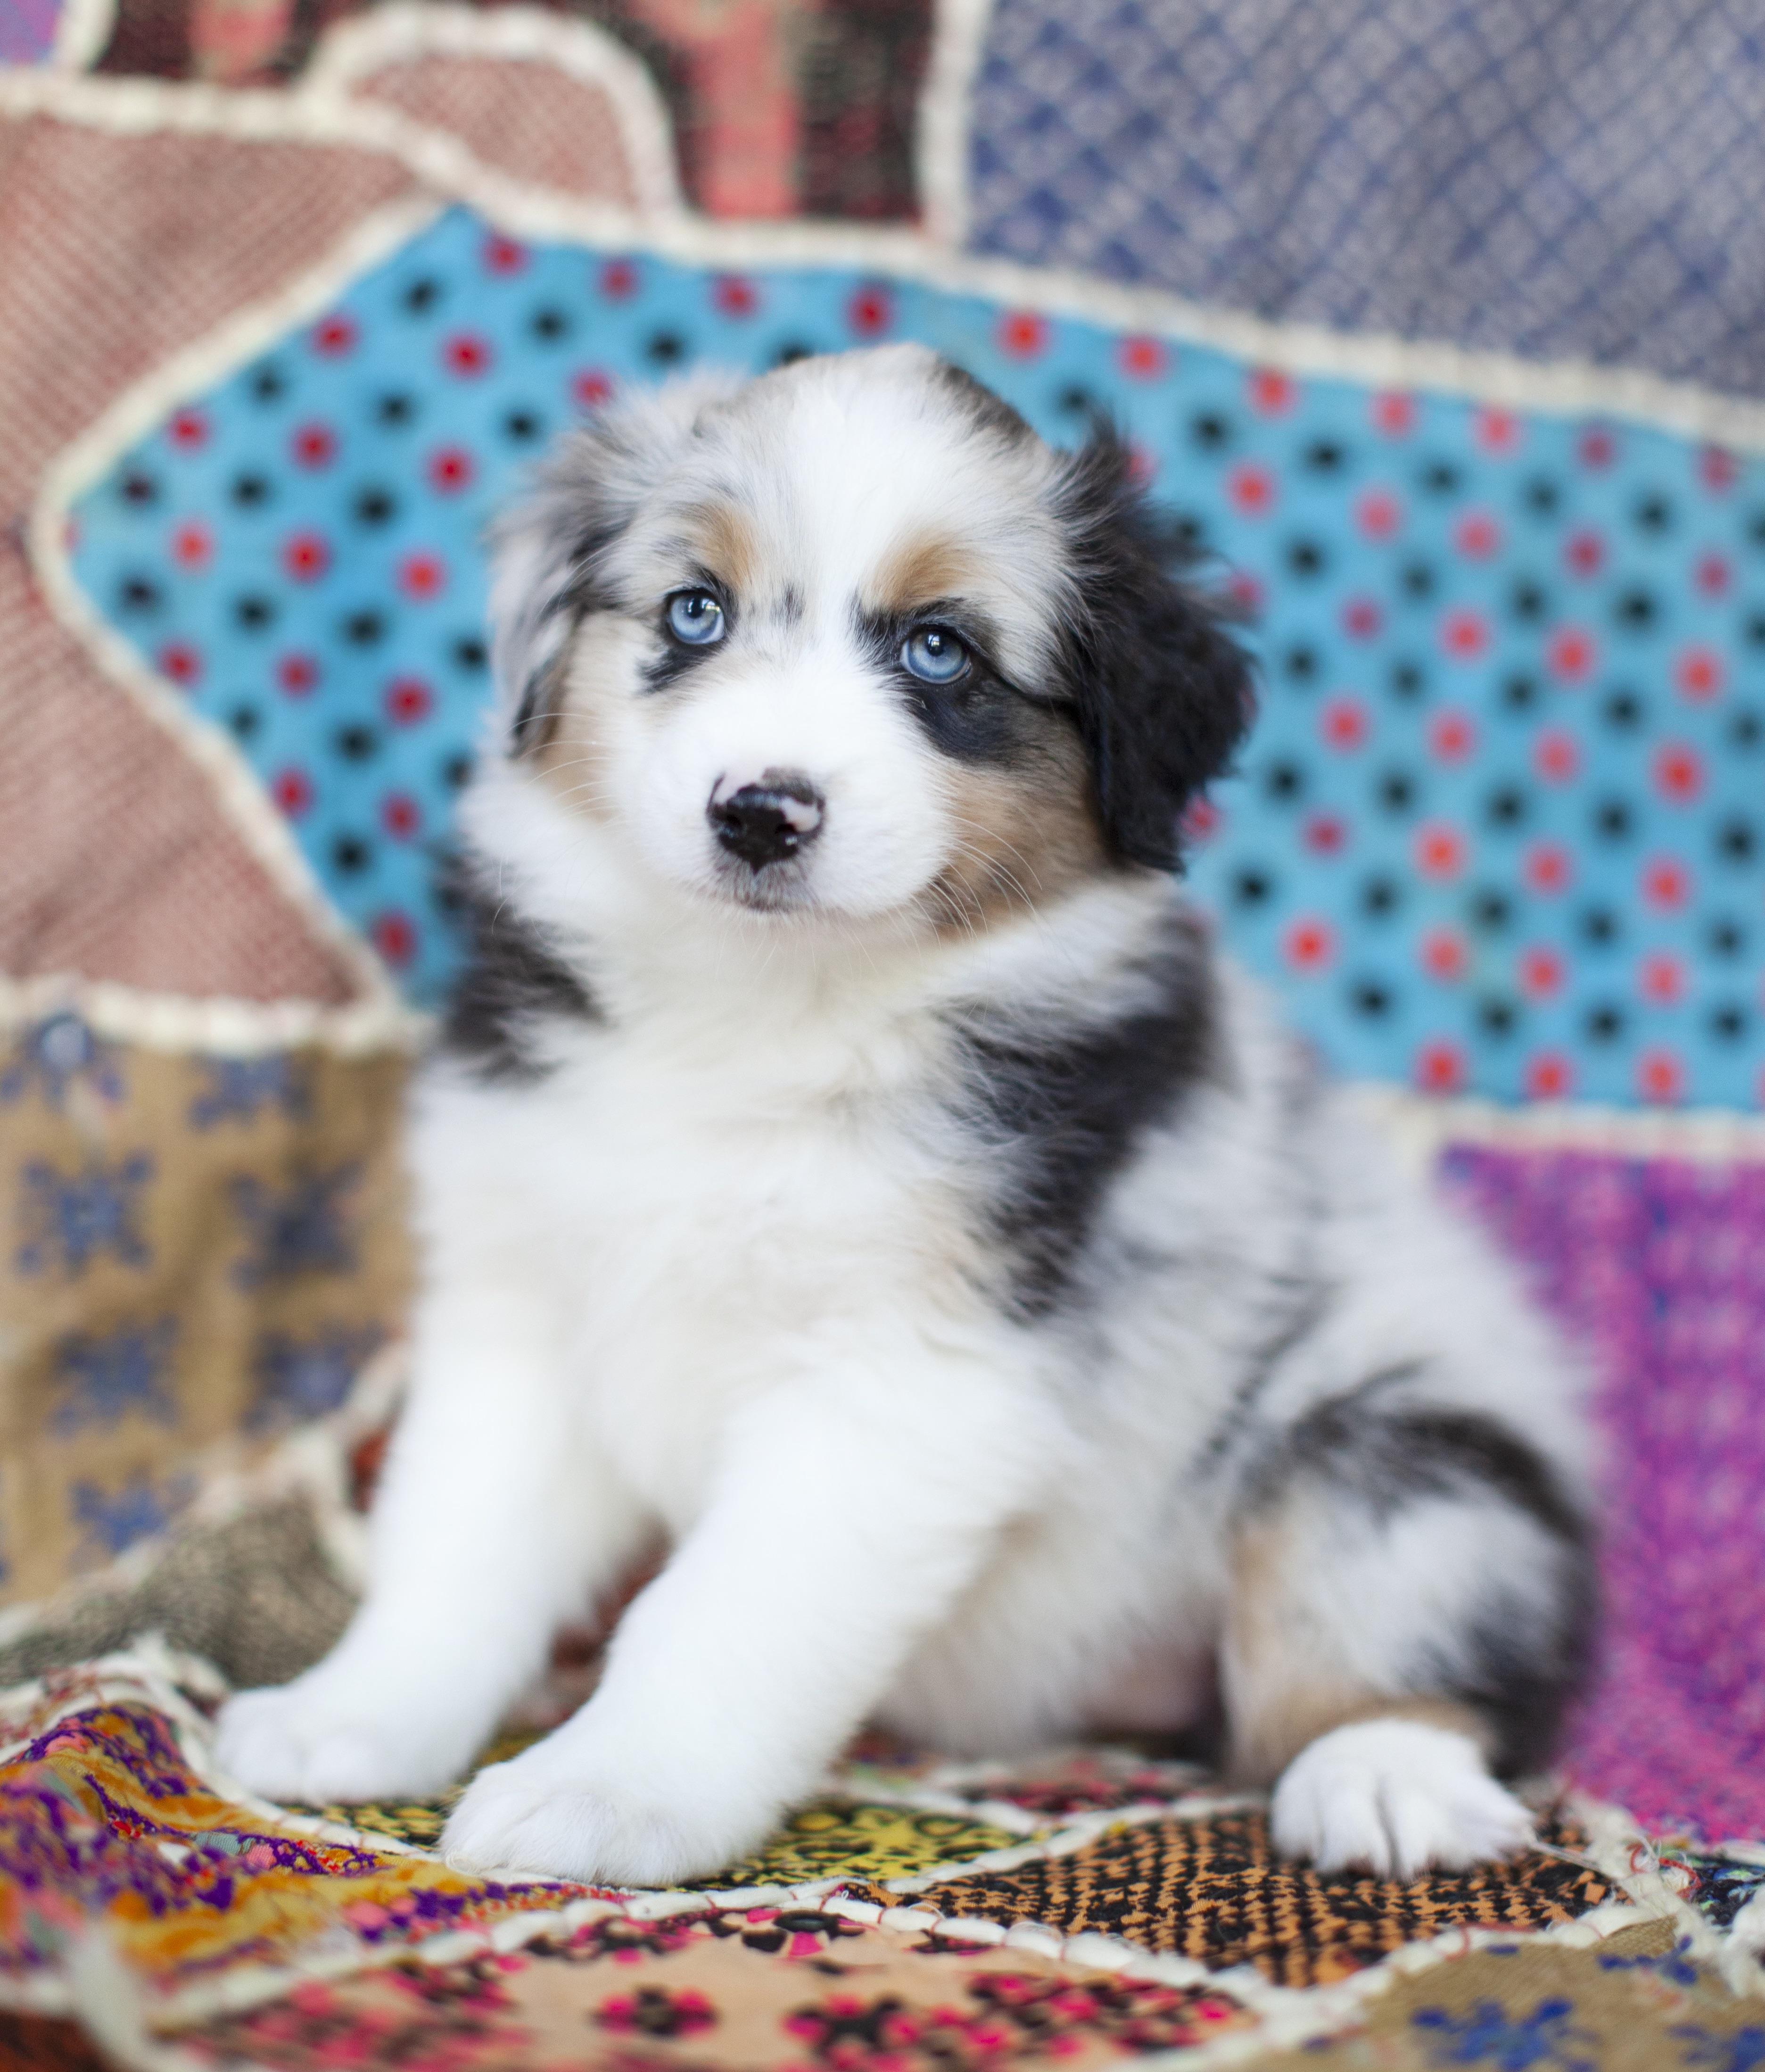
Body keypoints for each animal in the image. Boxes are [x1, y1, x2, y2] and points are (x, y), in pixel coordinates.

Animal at [217, 343, 1595, 1887]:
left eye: (940, 650)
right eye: (694, 611)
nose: (760, 811)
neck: (757, 1012)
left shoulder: (902, 1381)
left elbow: (714, 1614)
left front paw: (604, 1790)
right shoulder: (520, 1310)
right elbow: (455, 1544)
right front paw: (353, 1718)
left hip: (1398, 1452)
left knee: (1393, 1636)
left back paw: (1381, 1776)